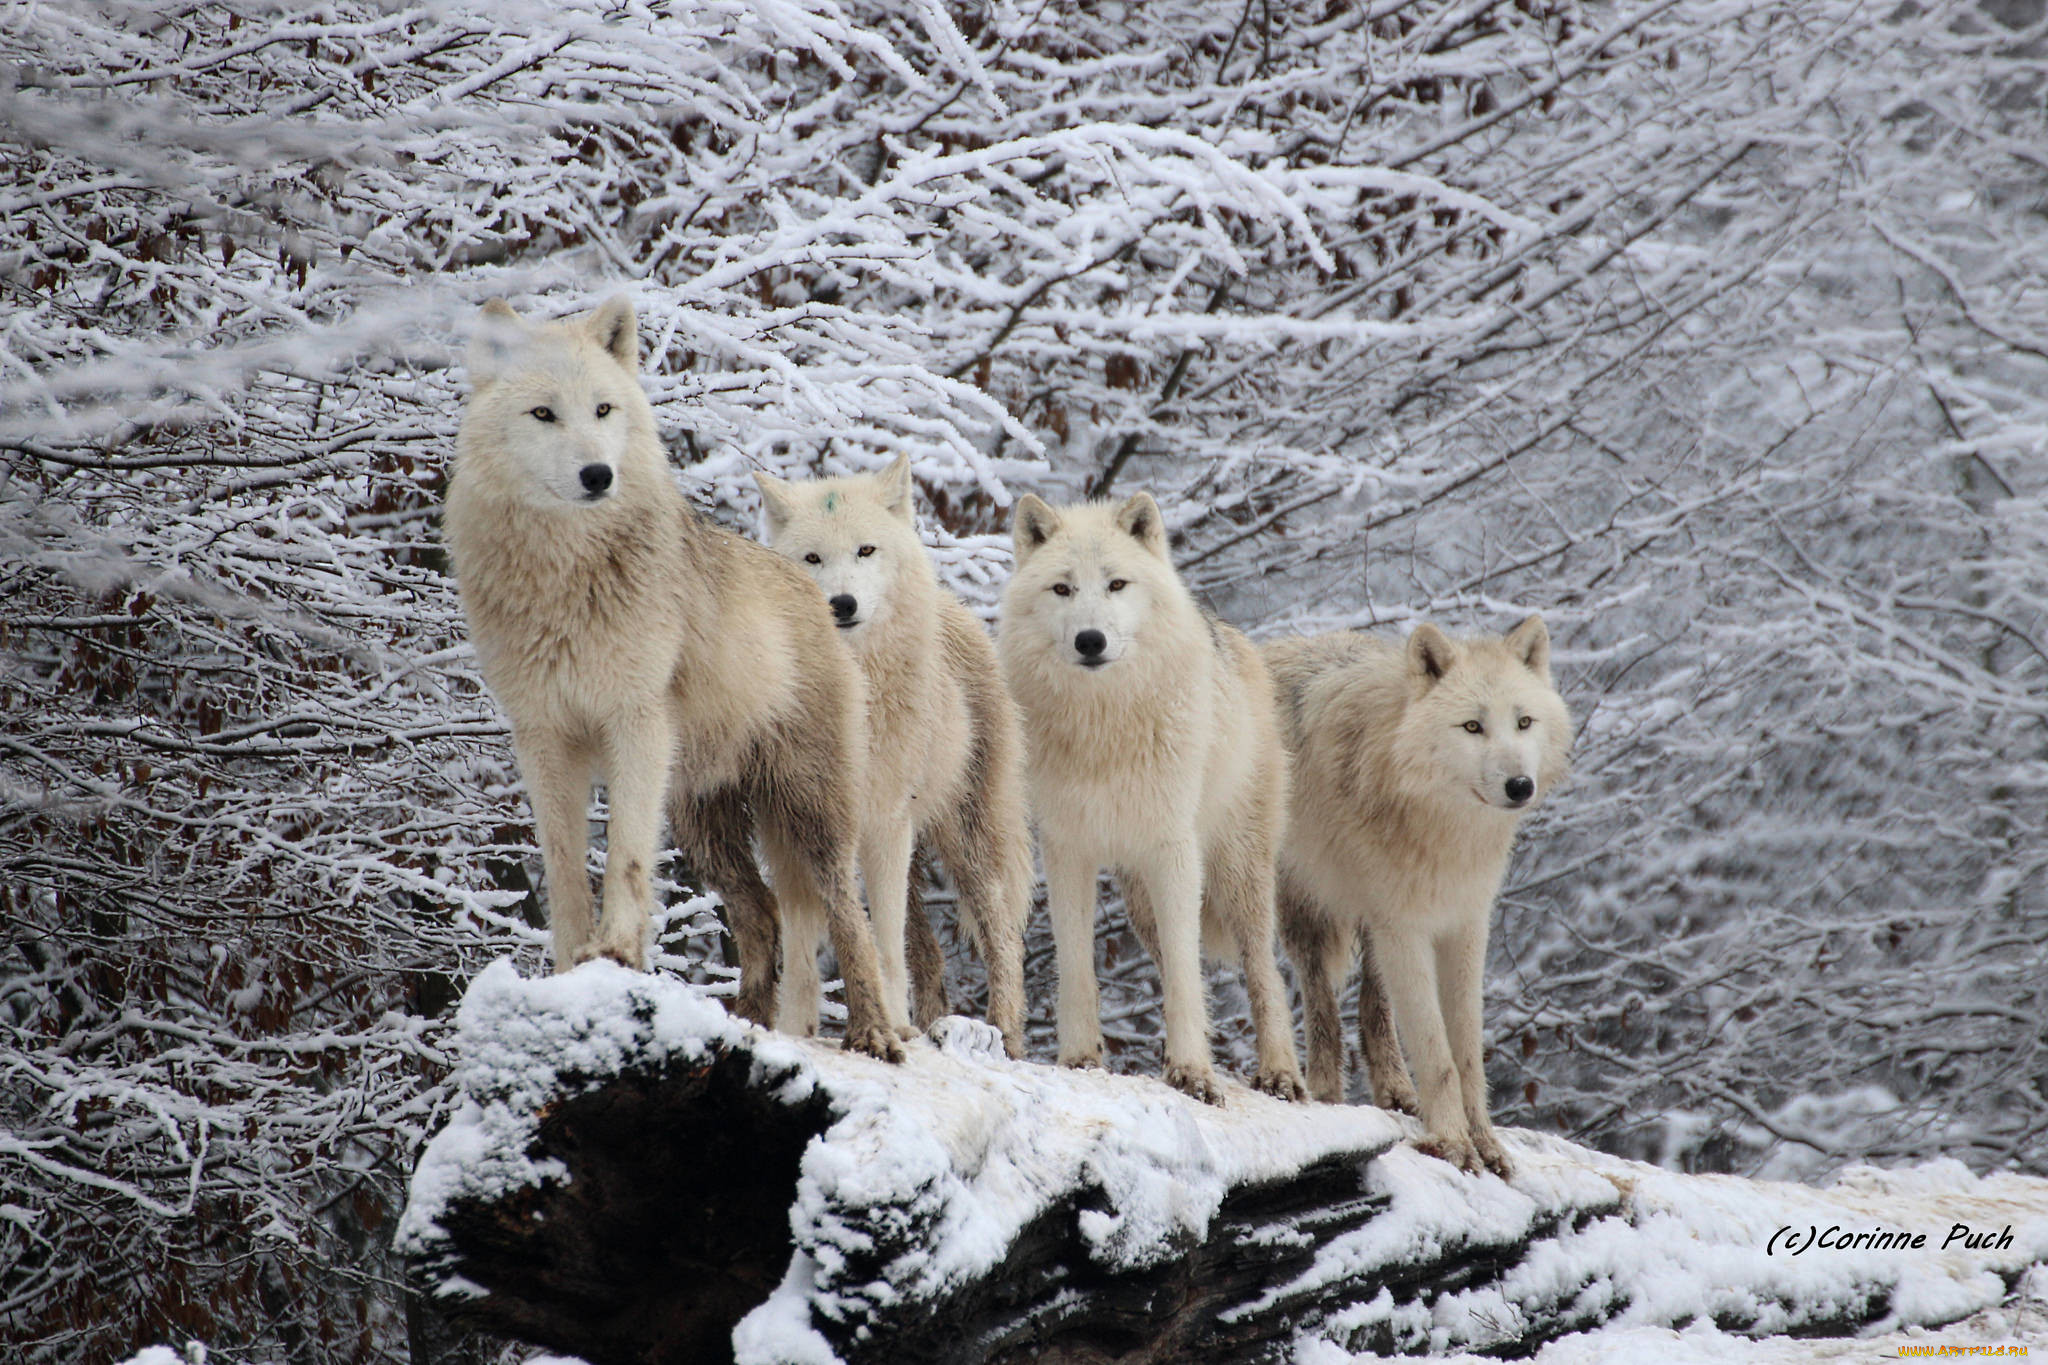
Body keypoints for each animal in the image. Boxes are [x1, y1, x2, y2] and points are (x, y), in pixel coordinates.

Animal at [444, 296, 901, 1064]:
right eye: (544, 414)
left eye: (603, 409)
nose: (598, 474)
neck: (564, 577)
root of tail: (812, 590)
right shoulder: (542, 739)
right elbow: (565, 867)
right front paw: (569, 970)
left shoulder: (636, 724)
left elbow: (627, 855)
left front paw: (617, 953)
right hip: (703, 822)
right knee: (763, 914)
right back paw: (747, 1021)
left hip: (804, 808)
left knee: (847, 910)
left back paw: (875, 1032)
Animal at [753, 458, 1032, 1055]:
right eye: (812, 558)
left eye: (865, 551)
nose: (841, 605)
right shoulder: (790, 828)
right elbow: (804, 950)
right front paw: (795, 1029)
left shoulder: (883, 824)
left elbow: (879, 940)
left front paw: (891, 1026)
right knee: (930, 952)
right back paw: (932, 1023)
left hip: (964, 843)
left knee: (1002, 937)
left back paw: (1005, 1034)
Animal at [999, 497, 1302, 1105]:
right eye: (1062, 589)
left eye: (1117, 584)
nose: (1090, 640)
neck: (1103, 727)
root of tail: (1234, 636)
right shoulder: (1066, 849)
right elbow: (1077, 967)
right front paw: (1080, 1059)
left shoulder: (1174, 852)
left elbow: (1187, 978)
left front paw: (1193, 1072)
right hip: (1138, 900)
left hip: (1237, 873)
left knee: (1266, 974)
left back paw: (1280, 1073)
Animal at [1253, 618, 1572, 1178]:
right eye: (1472, 727)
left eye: (1524, 722)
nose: (1520, 785)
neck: (1445, 828)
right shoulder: (1405, 927)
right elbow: (1436, 1053)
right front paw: (1454, 1145)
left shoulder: (1463, 927)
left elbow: (1465, 1054)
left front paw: (1486, 1145)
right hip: (1306, 910)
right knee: (1321, 1003)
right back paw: (1326, 1089)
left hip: (1373, 929)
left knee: (1372, 1008)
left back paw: (1397, 1093)